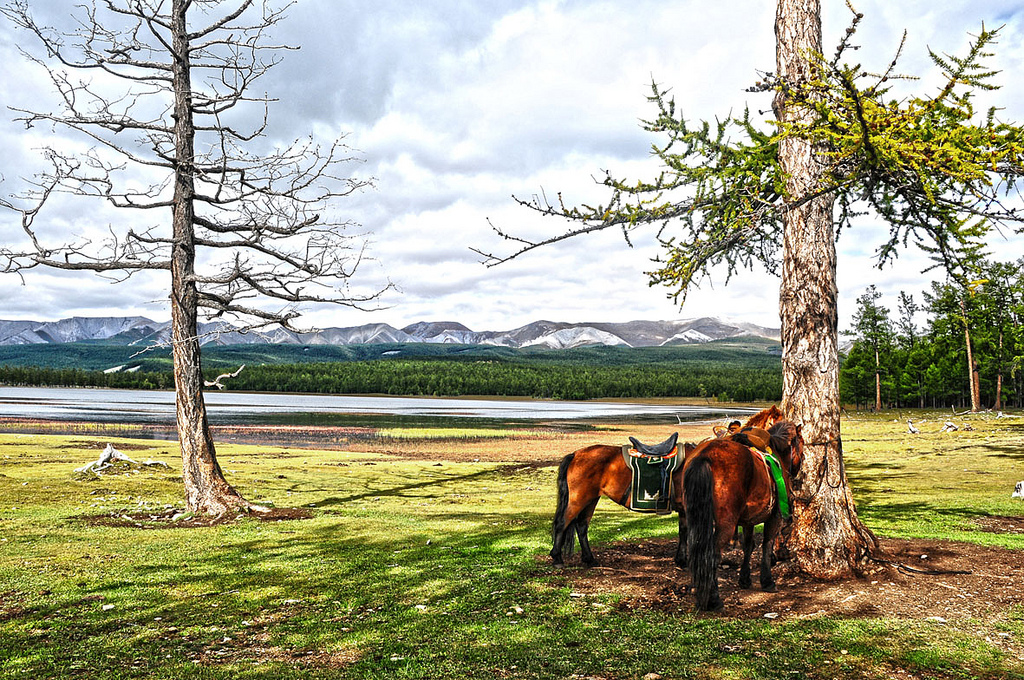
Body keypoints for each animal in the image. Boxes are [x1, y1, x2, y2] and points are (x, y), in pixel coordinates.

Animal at [552, 403, 782, 569]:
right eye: (779, 423)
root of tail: (576, 454)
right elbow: (690, 533)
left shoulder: (685, 509)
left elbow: (683, 532)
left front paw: (681, 560)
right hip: (579, 497)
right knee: (563, 523)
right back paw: (557, 558)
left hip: (592, 498)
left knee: (581, 526)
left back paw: (589, 559)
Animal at [684, 419, 802, 610]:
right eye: (801, 444)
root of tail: (705, 456)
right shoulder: (774, 517)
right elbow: (766, 544)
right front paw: (767, 581)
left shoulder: (748, 520)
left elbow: (748, 545)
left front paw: (745, 578)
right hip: (726, 524)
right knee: (712, 555)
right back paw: (714, 599)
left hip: (696, 518)